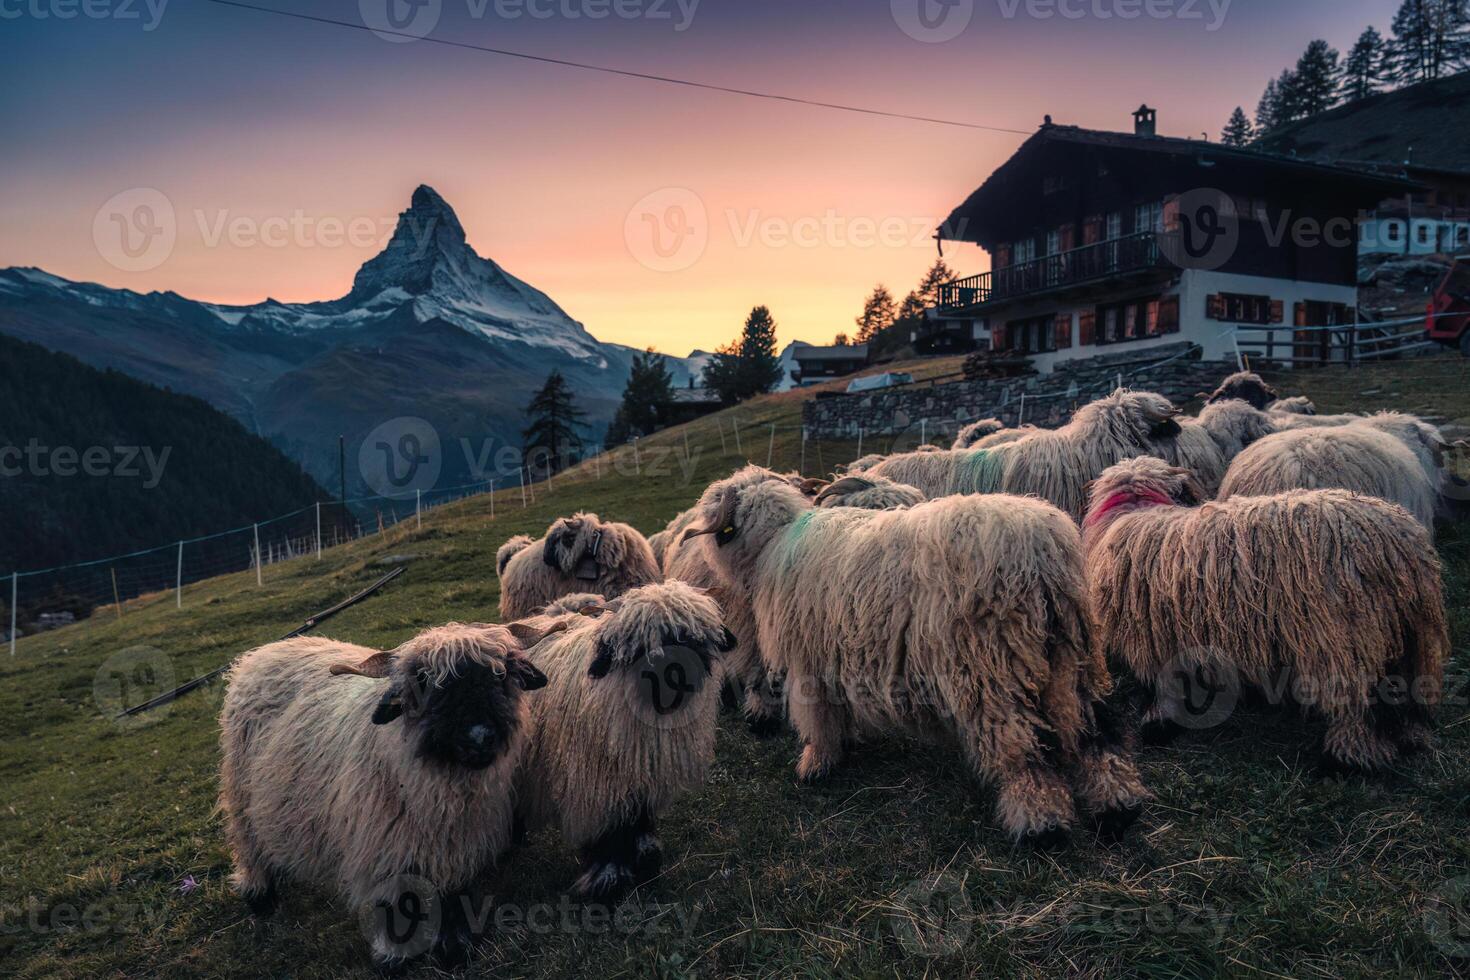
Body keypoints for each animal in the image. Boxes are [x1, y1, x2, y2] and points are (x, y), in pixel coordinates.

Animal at [217, 620, 561, 963]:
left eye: (500, 675)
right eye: (423, 683)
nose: (479, 737)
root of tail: (267, 649)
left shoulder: (456, 845)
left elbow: (452, 895)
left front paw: (454, 948)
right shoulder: (383, 845)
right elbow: (392, 906)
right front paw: (392, 955)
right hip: (240, 790)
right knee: (248, 841)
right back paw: (259, 894)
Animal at [1081, 458, 1446, 775]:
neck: (1132, 512)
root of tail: (1398, 542)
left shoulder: (1150, 637)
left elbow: (1161, 686)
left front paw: (1158, 724)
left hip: (1346, 634)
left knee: (1355, 704)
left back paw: (1347, 760)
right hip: (1404, 633)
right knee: (1401, 689)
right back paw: (1409, 738)